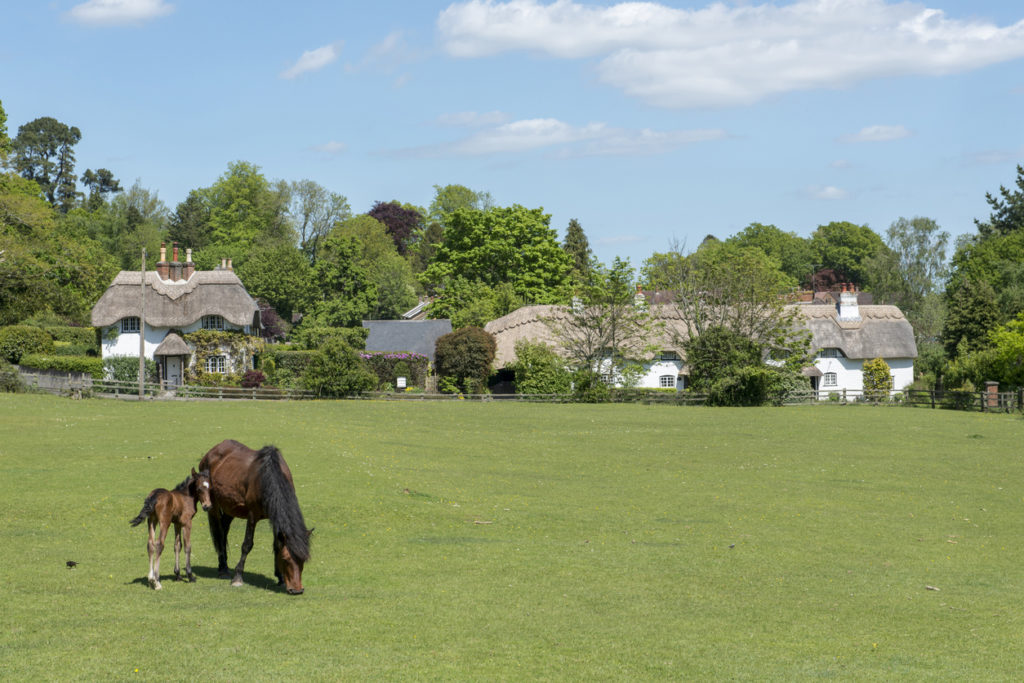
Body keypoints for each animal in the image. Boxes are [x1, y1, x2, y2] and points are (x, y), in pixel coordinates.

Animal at [196, 440, 311, 593]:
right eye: (286, 559)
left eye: (303, 560)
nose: (297, 590)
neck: (268, 478)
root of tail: (210, 453)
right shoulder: (252, 516)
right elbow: (247, 545)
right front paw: (238, 577)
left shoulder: (274, 517)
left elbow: (276, 545)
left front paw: (280, 577)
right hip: (212, 505)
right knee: (219, 533)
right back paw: (223, 569)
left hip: (230, 507)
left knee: (224, 529)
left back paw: (223, 565)